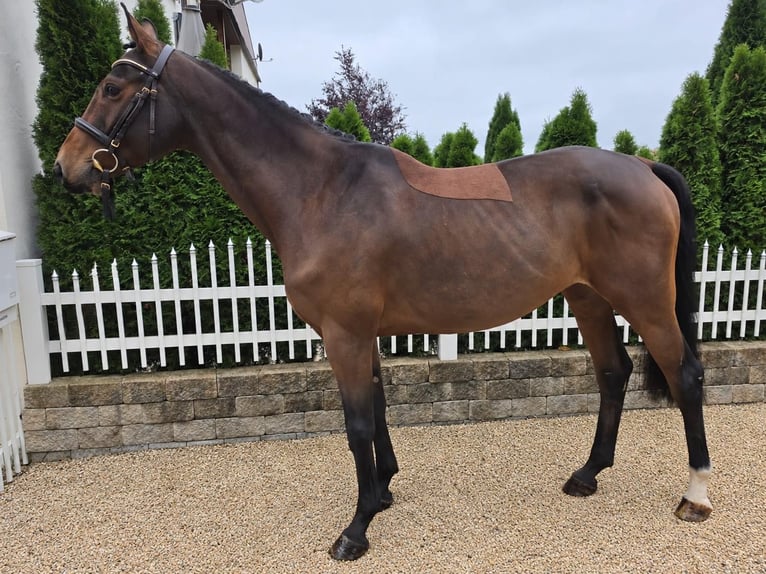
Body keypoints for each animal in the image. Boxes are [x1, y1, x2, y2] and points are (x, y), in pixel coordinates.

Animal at [54, 6, 712, 561]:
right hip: (589, 298)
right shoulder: (361, 333)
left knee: (684, 374)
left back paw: (695, 495)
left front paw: (357, 527)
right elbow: (378, 406)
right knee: (612, 375)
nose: (66, 167)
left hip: (645, 300)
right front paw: (386, 490)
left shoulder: (343, 333)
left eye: (113, 87)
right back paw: (587, 474)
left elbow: (357, 424)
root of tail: (643, 166)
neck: (323, 191)